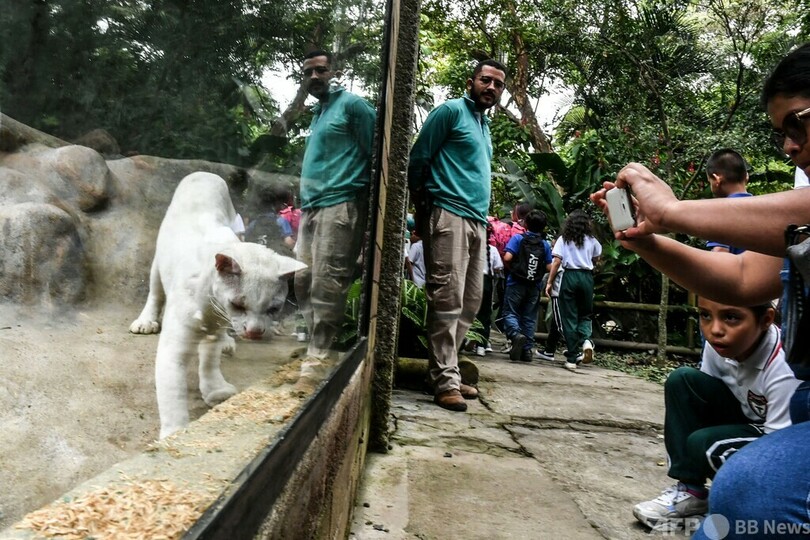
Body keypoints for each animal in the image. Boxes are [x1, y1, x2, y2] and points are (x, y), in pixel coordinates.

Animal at [129, 171, 306, 439]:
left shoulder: (215, 328)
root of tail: (204, 173)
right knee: (155, 292)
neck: (213, 310)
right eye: (238, 304)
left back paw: (227, 343)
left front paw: (214, 389)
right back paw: (145, 321)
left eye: (273, 309)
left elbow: (209, 361)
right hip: (158, 265)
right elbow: (172, 392)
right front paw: (175, 434)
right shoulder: (175, 345)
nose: (255, 332)